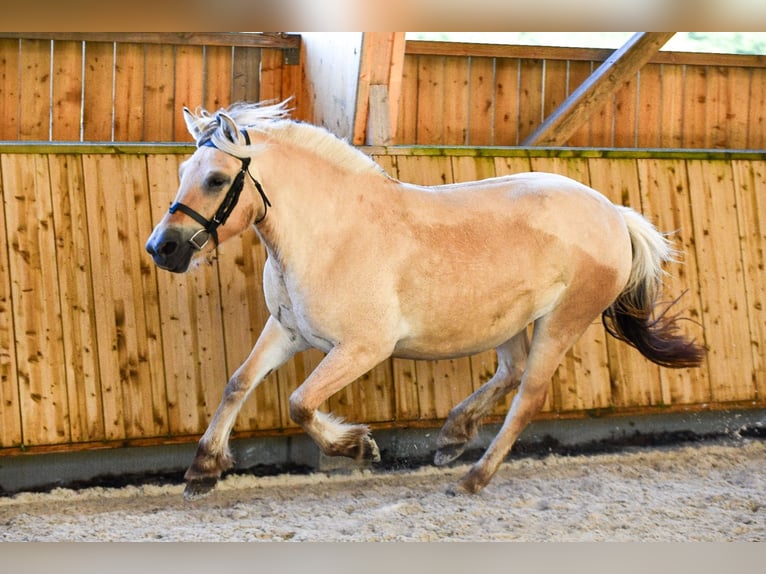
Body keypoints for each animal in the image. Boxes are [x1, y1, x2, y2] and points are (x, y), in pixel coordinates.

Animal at [145, 101, 705, 500]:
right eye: (183, 171)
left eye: (216, 179)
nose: (162, 248)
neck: (331, 233)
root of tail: (613, 212)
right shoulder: (287, 331)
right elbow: (238, 383)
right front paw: (202, 470)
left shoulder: (362, 348)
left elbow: (300, 403)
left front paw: (359, 446)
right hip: (510, 323)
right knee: (510, 374)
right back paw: (452, 438)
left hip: (562, 321)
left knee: (528, 397)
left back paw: (472, 478)